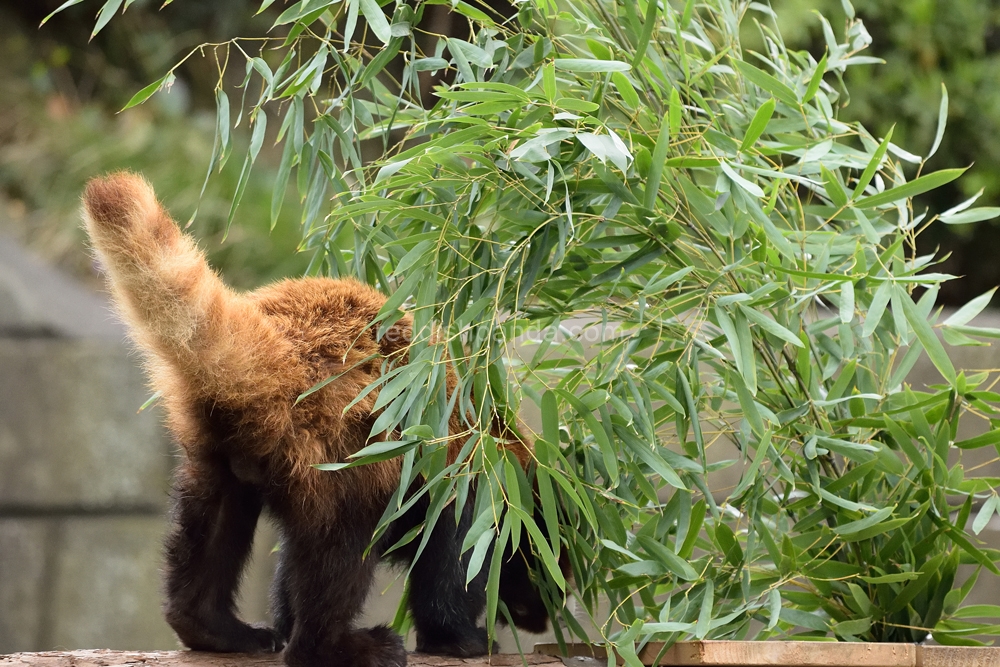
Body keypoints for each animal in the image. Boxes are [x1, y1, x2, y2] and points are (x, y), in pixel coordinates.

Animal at [80, 174, 548, 667]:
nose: (542, 620)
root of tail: (284, 350)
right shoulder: (469, 485)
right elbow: (453, 566)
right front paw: (461, 639)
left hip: (223, 447)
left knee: (216, 523)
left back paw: (214, 629)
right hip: (348, 450)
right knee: (342, 553)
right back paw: (338, 645)